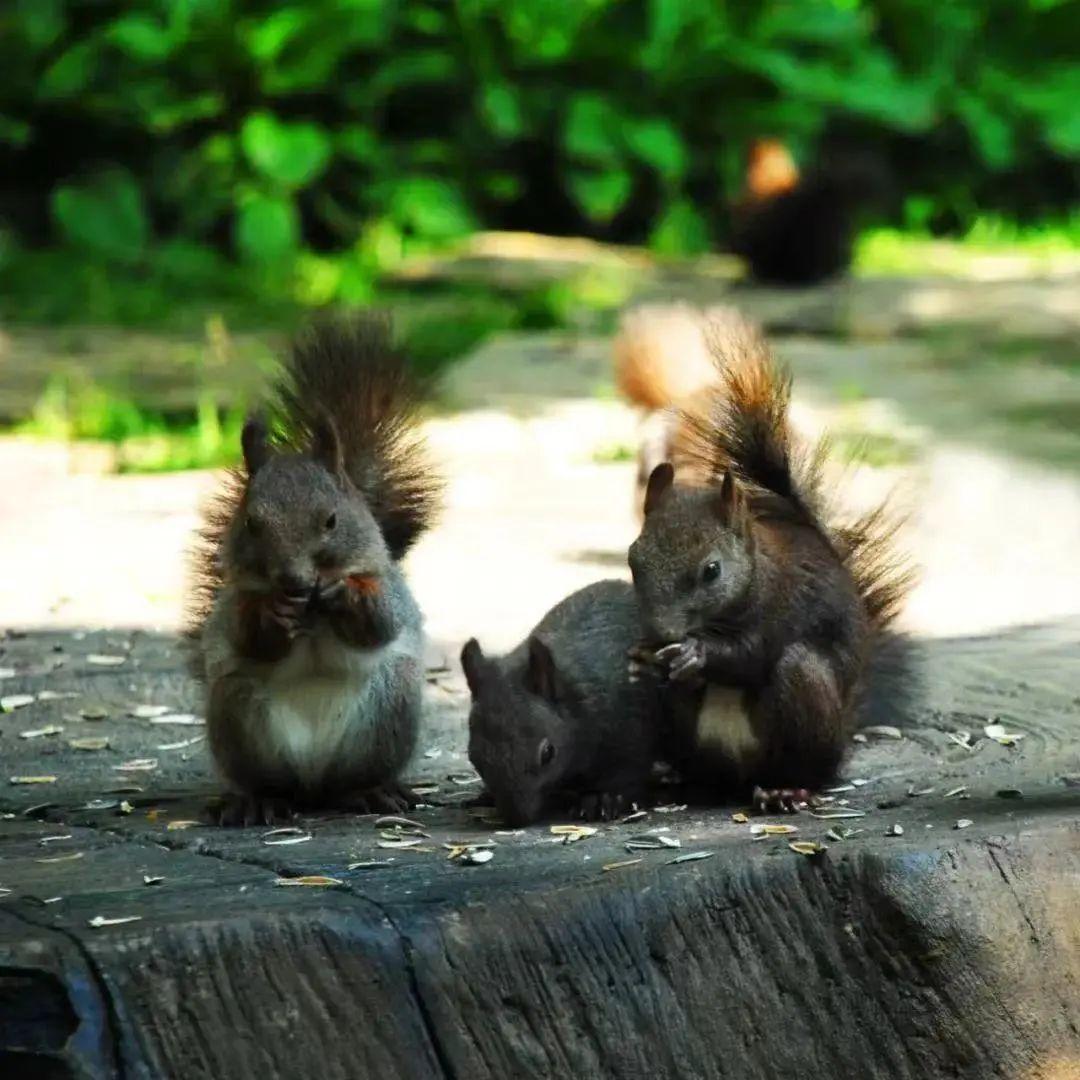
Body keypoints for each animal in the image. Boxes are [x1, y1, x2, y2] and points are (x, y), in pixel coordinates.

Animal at [186, 315, 442, 825]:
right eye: (251, 522)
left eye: (331, 520)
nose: (294, 581)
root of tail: (313, 784)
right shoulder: (235, 600)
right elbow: (248, 634)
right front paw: (273, 614)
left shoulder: (387, 582)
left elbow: (382, 620)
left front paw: (345, 595)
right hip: (236, 711)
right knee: (268, 779)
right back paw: (260, 799)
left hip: (391, 705)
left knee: (354, 777)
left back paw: (369, 791)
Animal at [457, 583, 656, 825]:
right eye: (473, 757)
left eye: (548, 753)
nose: (517, 817)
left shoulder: (630, 725)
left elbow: (626, 771)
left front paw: (602, 799)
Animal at [626, 311, 911, 812]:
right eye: (632, 560)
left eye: (712, 571)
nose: (663, 634)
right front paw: (641, 659)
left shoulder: (782, 605)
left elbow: (750, 654)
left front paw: (697, 653)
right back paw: (683, 778)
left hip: (805, 698)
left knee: (804, 749)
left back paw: (787, 788)